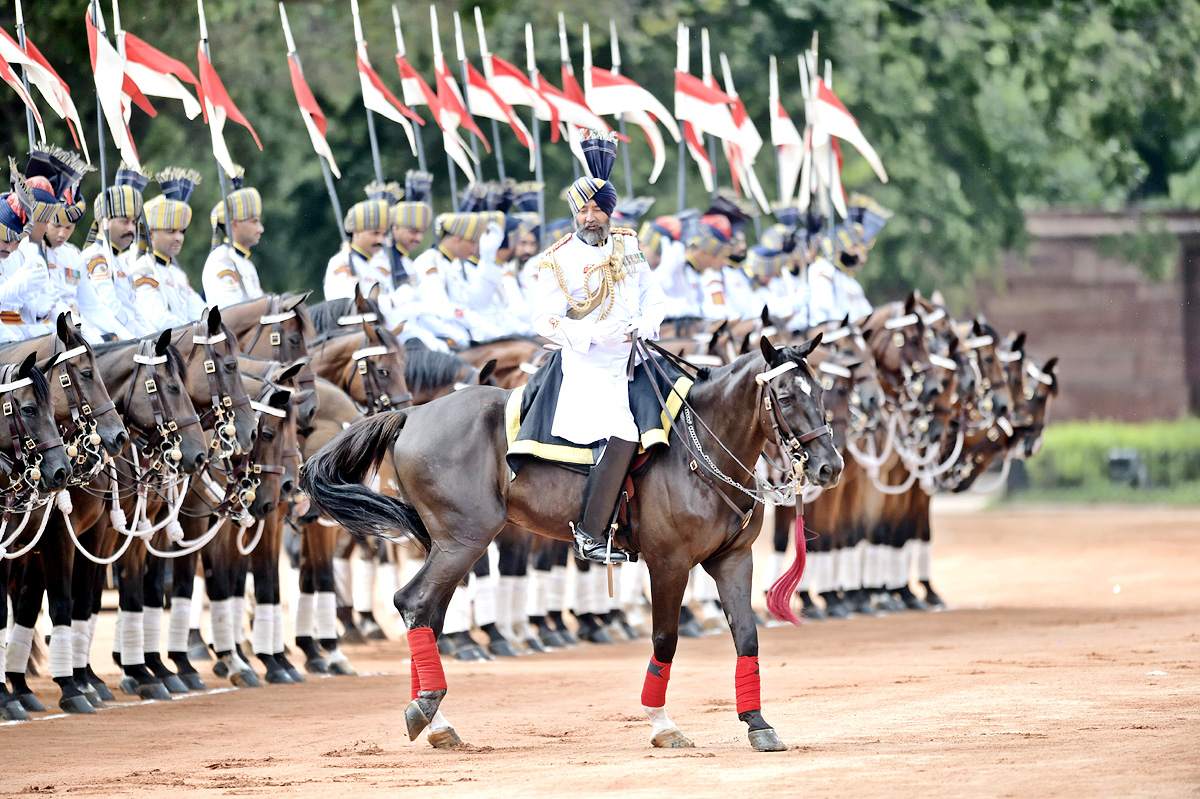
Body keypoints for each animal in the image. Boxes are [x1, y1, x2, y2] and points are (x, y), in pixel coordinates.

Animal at [304, 333, 840, 748]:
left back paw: (435, 720)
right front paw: (661, 724)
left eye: (820, 392)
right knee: (412, 602)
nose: (829, 467)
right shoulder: (669, 563)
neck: (702, 447)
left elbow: (746, 635)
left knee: (428, 615)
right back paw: (426, 708)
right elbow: (665, 639)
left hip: (450, 544)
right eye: (785, 397)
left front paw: (758, 723)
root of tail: (412, 416)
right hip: (464, 540)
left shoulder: (733, 559)